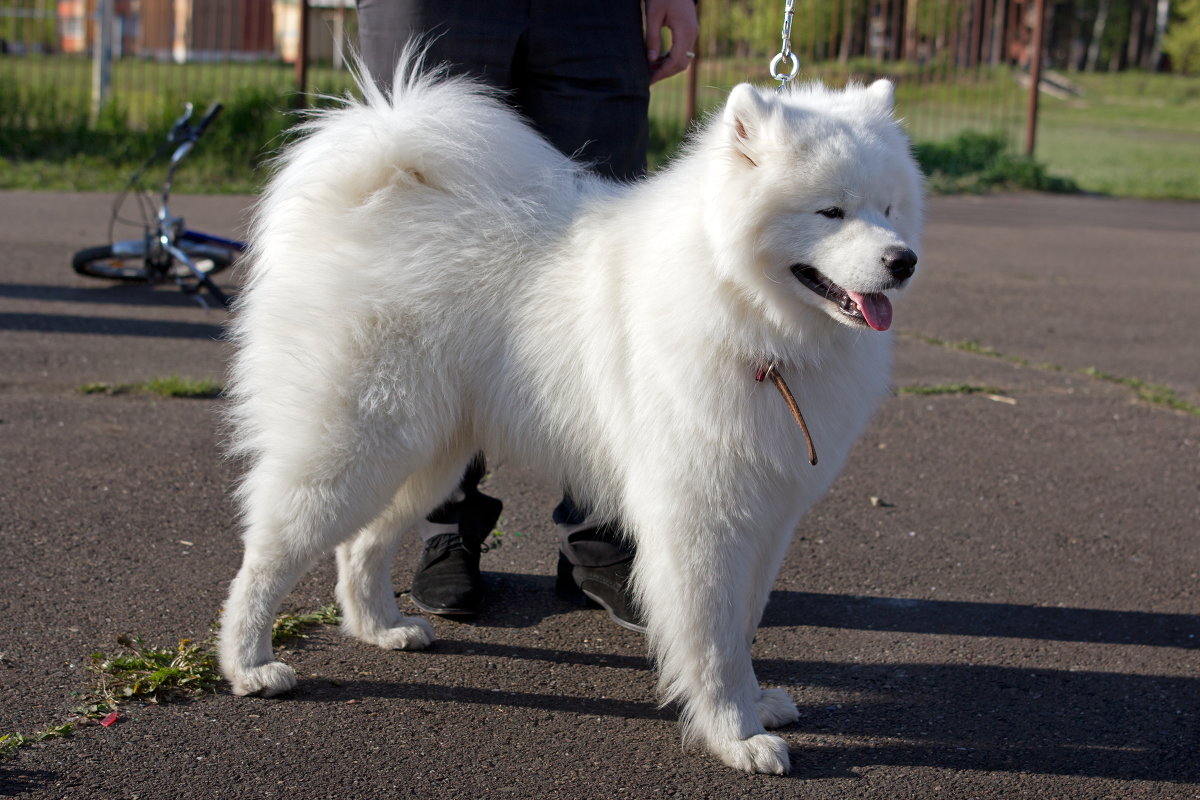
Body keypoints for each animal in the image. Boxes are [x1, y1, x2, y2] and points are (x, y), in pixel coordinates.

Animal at [220, 57, 921, 777]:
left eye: (890, 208)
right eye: (831, 211)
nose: (903, 261)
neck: (747, 313)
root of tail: (375, 182)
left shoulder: (767, 514)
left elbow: (744, 626)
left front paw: (757, 704)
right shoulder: (701, 516)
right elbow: (714, 642)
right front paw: (737, 735)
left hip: (425, 454)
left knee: (361, 544)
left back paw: (380, 628)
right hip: (353, 448)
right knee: (268, 554)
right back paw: (250, 664)